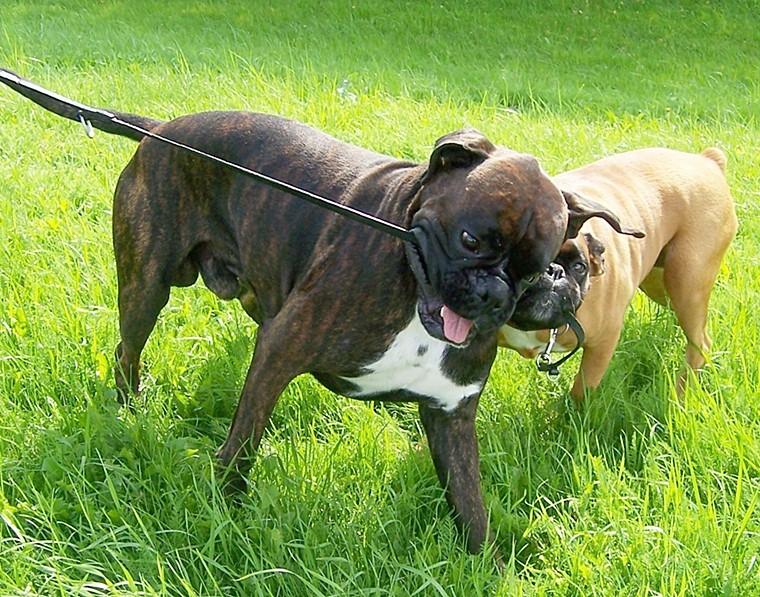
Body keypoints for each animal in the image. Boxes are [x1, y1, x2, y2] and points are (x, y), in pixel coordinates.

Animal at [0, 68, 640, 556]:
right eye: (471, 240)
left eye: (536, 266)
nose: (491, 293)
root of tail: (163, 130)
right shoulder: (280, 351)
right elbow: (242, 443)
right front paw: (223, 507)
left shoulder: (451, 416)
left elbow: (471, 506)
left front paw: (483, 565)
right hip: (146, 288)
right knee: (127, 350)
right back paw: (128, 411)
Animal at [498, 147, 736, 402]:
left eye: (579, 267)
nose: (554, 271)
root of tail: (707, 160)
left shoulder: (602, 344)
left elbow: (582, 389)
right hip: (660, 282)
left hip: (686, 282)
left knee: (700, 343)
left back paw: (681, 393)